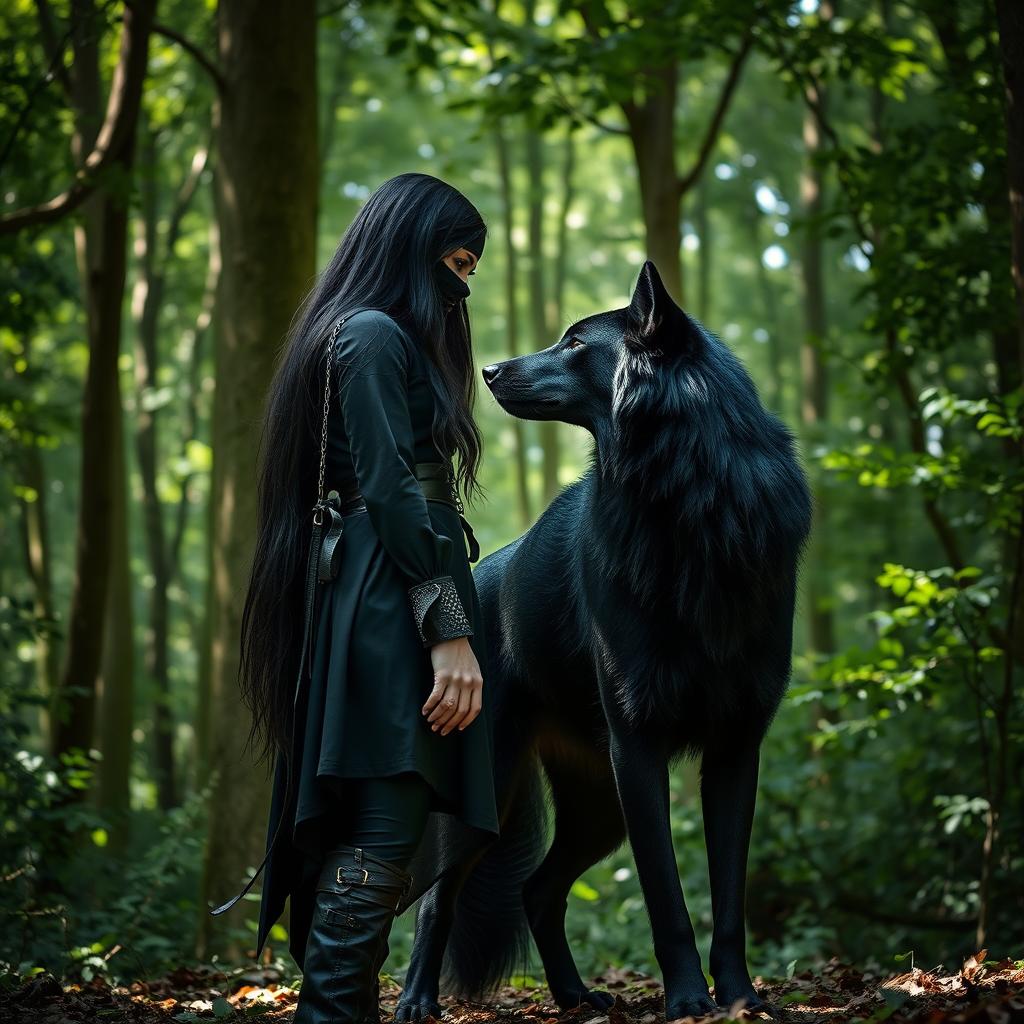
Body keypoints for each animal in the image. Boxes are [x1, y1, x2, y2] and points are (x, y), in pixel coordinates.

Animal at [395, 260, 811, 1019]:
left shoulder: (737, 750)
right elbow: (667, 900)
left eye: (574, 341)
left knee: (537, 889)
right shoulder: (638, 749)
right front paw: (688, 1000)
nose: (489, 368)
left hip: (597, 812)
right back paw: (416, 1000)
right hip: (499, 801)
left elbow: (728, 902)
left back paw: (574, 996)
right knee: (438, 898)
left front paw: (739, 997)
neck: (688, 502)